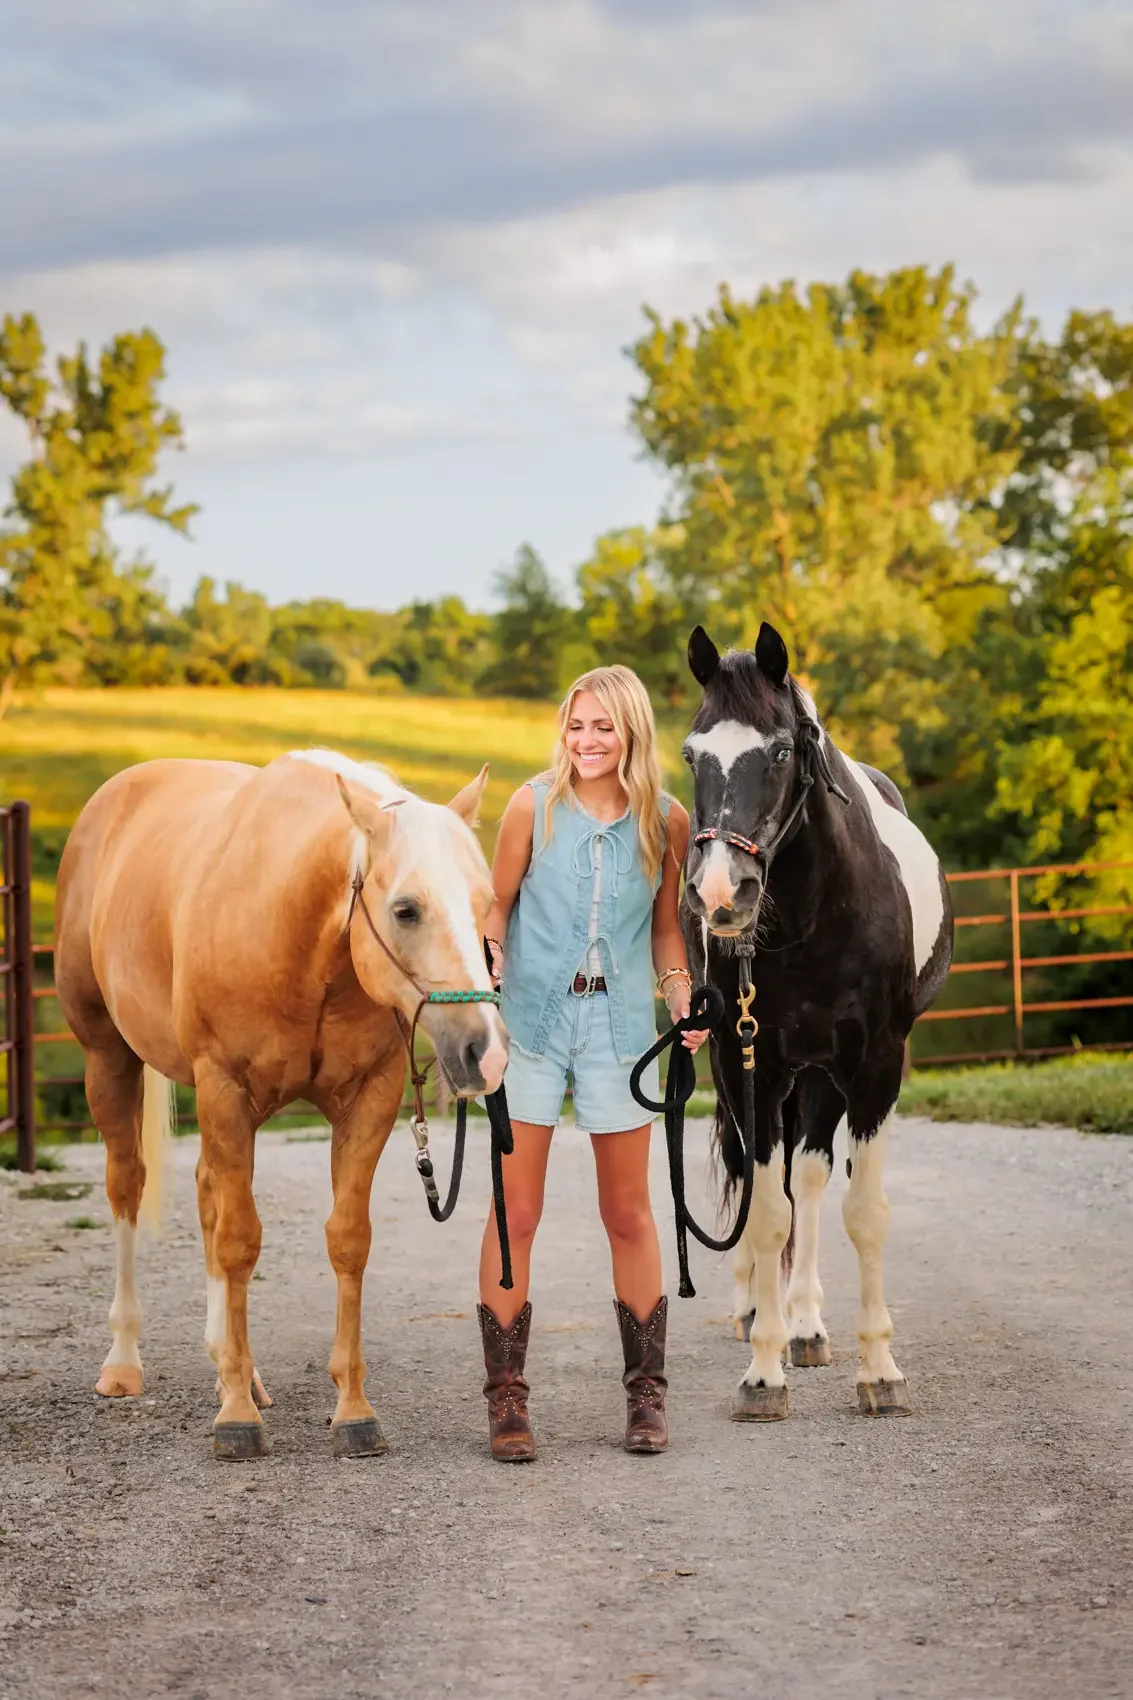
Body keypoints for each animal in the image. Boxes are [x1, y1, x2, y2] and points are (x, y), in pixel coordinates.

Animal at [54, 748, 508, 1459]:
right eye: (406, 909)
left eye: (485, 902)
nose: (484, 1054)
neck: (295, 929)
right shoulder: (224, 1087)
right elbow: (240, 1241)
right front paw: (237, 1418)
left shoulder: (368, 1098)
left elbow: (346, 1240)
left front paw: (351, 1410)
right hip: (109, 1058)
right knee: (128, 1185)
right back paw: (125, 1362)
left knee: (207, 1188)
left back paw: (228, 1363)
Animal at [681, 623, 953, 1420]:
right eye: (692, 754)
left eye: (779, 751)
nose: (722, 893)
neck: (813, 911)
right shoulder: (753, 1064)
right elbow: (766, 1212)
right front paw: (762, 1374)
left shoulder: (874, 1065)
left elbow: (862, 1211)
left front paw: (879, 1370)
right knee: (759, 1179)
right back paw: (758, 1314)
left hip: (824, 1074)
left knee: (809, 1175)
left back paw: (805, 1325)